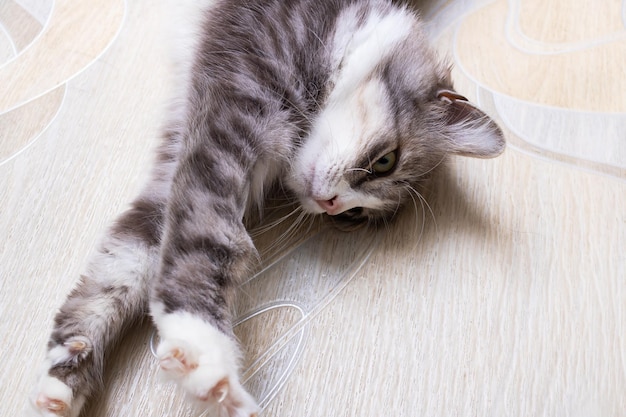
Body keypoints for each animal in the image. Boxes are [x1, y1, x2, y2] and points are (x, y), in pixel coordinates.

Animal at [30, 0, 502, 416]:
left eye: (353, 217)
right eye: (386, 161)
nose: (331, 204)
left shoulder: (176, 168)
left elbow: (117, 270)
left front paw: (62, 381)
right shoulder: (230, 112)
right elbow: (207, 239)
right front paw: (208, 360)